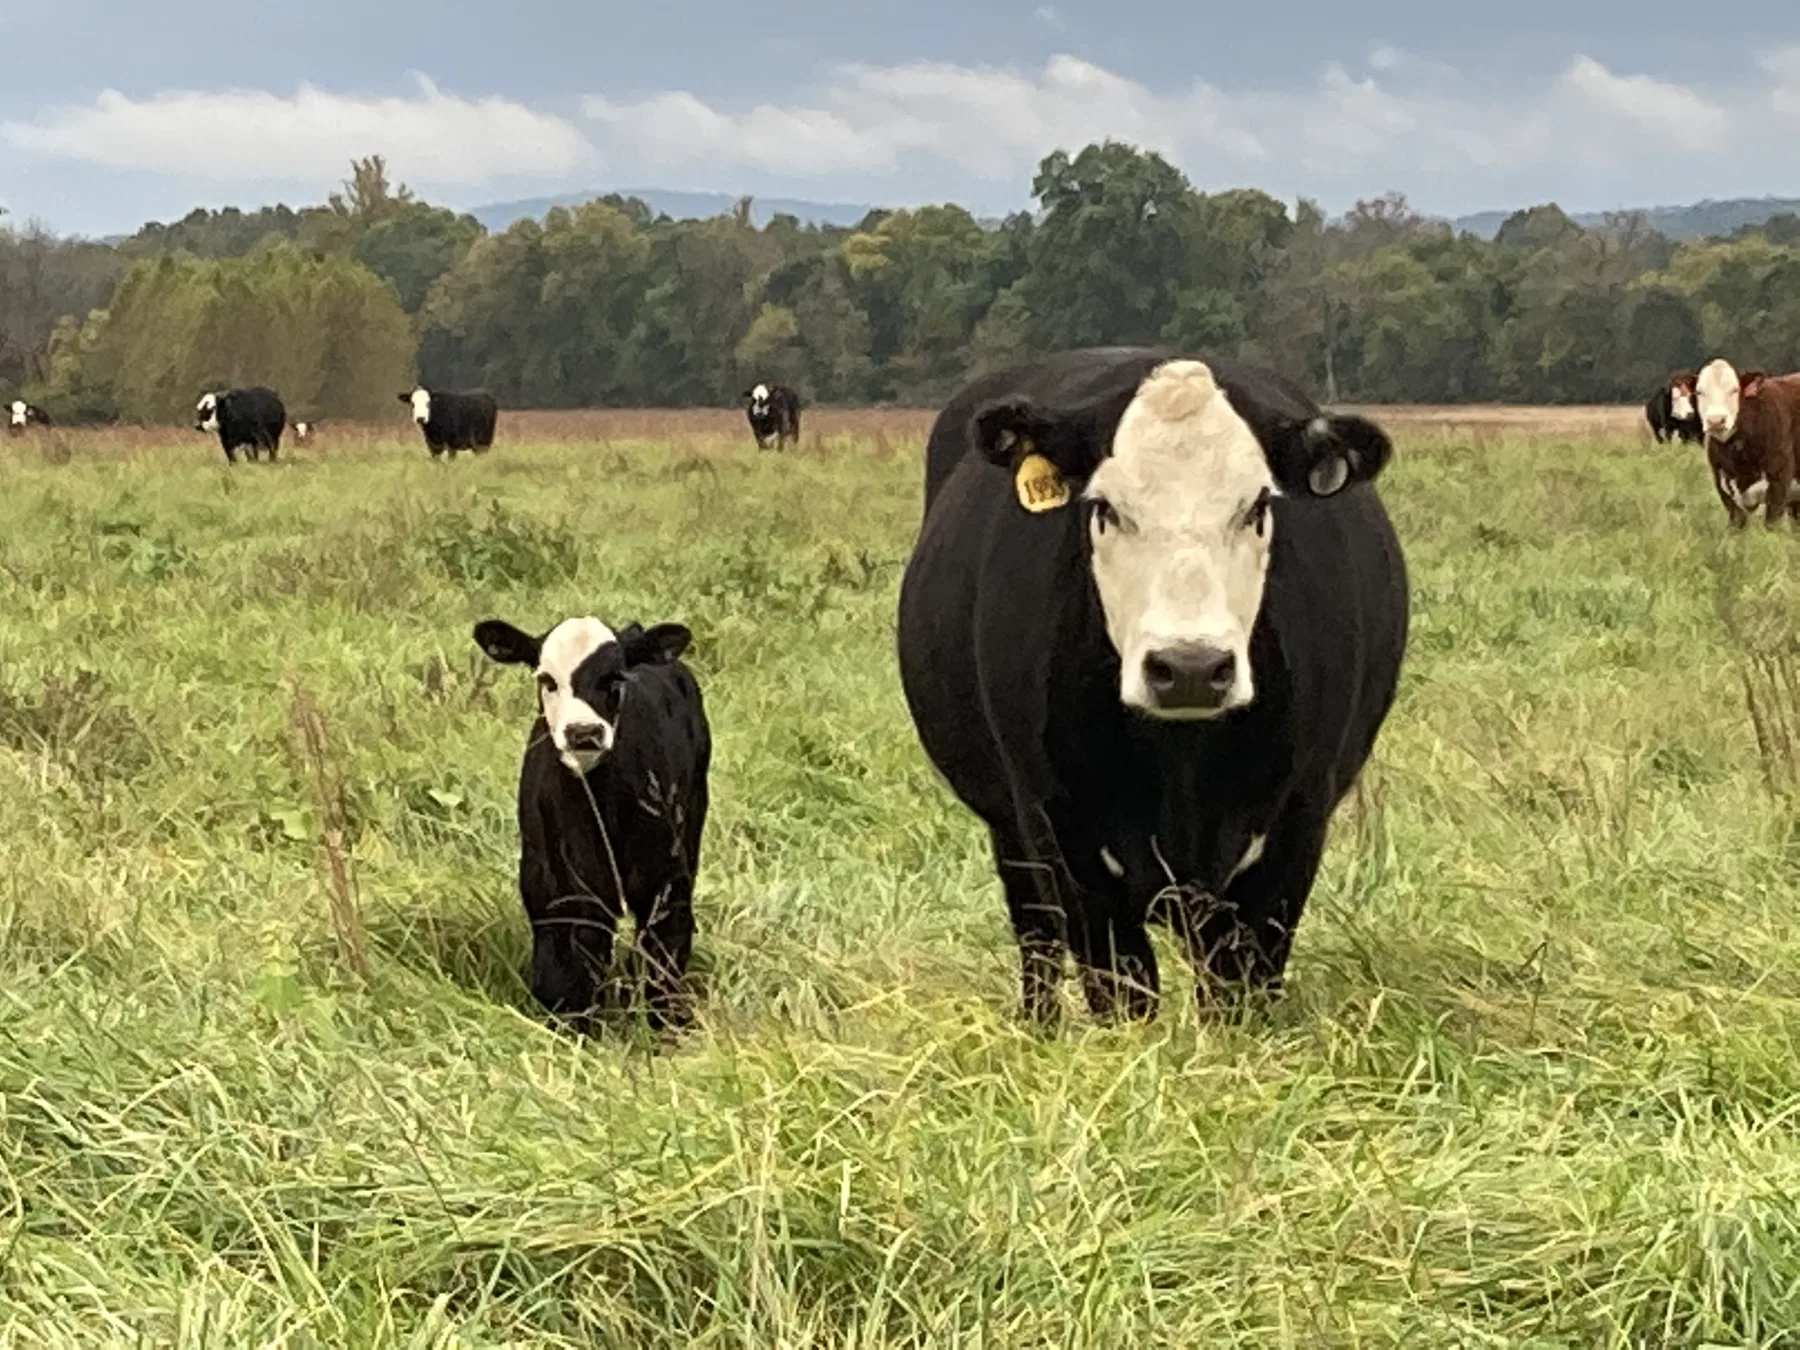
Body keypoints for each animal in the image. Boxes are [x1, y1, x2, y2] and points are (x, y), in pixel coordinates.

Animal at [473, 613, 711, 1032]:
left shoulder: (664, 873)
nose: (583, 732)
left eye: (615, 678)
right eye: (546, 680)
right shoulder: (553, 880)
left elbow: (663, 950)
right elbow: (567, 961)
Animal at [896, 348, 1410, 1025]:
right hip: (1011, 835)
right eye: (1106, 508)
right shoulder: (1062, 840)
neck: (1179, 763)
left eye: (1257, 507)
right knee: (1036, 941)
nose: (1190, 666)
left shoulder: (1294, 832)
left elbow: (1240, 993)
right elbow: (1120, 988)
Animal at [1694, 358, 1800, 529]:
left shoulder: (1779, 483)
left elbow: (1771, 524)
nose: (1716, 420)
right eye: (1699, 392)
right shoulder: (1724, 488)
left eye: (1735, 390)